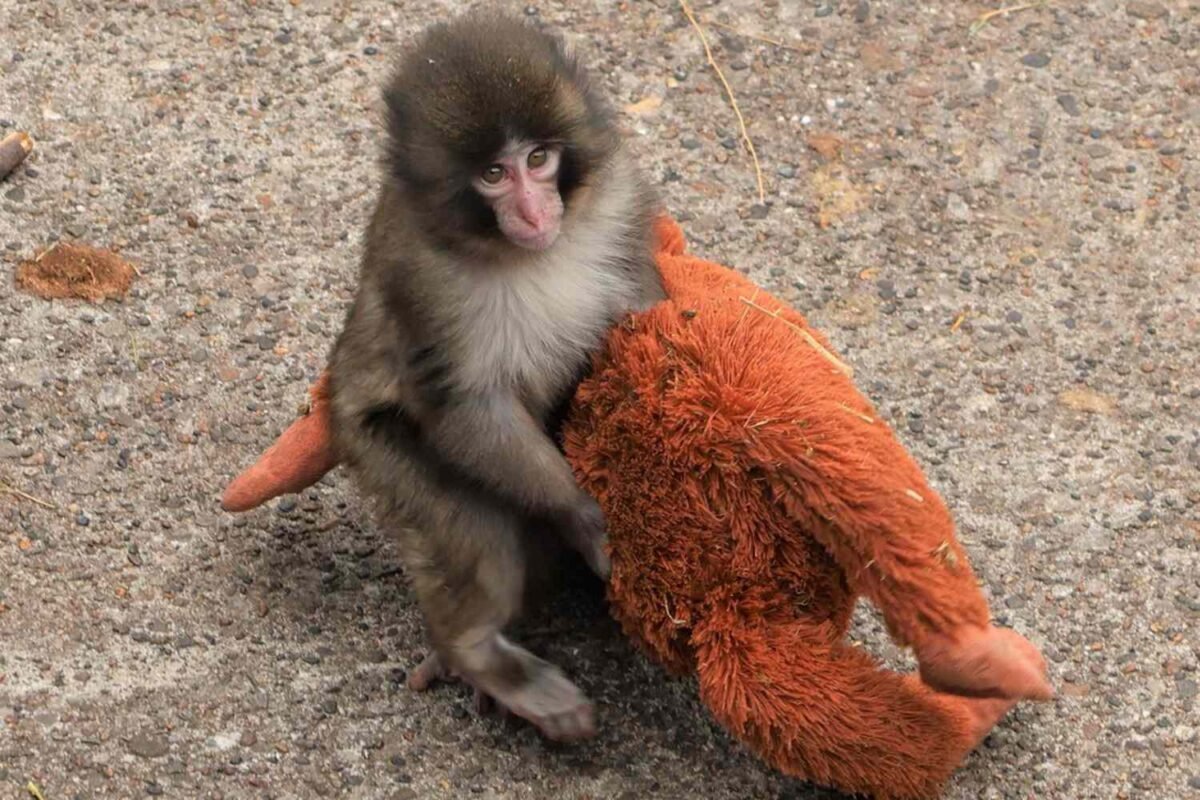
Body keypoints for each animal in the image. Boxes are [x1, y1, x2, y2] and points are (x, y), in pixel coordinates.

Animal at [326, 12, 666, 742]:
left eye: (538, 160)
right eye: (492, 174)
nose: (535, 213)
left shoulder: (619, 199)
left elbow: (644, 311)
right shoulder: (420, 276)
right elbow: (465, 407)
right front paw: (583, 516)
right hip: (374, 448)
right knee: (477, 531)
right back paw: (478, 654)